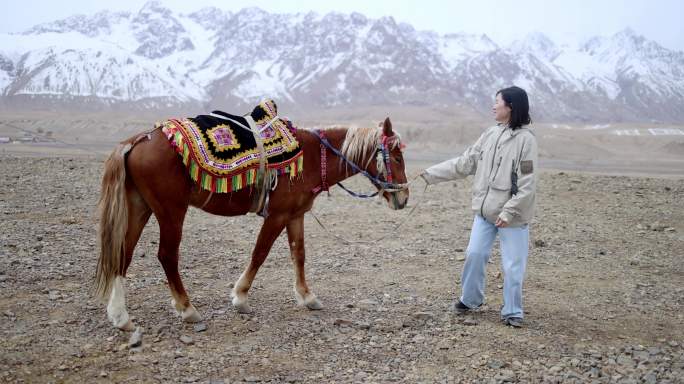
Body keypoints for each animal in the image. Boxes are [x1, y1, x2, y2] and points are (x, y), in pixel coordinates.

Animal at [93, 116, 408, 330]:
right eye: (396, 156)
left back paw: (120, 316)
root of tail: (135, 142)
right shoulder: (277, 215)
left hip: (140, 207)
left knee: (124, 253)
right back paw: (187, 309)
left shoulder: (295, 214)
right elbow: (260, 253)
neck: (308, 156)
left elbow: (299, 254)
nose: (403, 198)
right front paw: (240, 298)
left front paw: (307, 297)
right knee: (167, 256)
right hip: (171, 211)